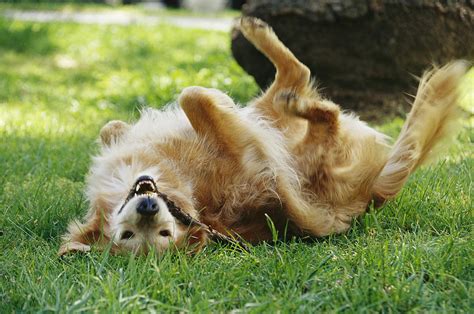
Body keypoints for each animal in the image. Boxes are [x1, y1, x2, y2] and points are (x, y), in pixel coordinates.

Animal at [58, 17, 466, 255]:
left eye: (159, 234)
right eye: (131, 236)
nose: (147, 207)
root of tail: (373, 194)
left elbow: (123, 122)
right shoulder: (252, 156)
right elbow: (194, 95)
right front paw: (220, 102)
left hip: (271, 111)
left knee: (296, 78)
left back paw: (256, 31)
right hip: (312, 163)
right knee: (322, 110)